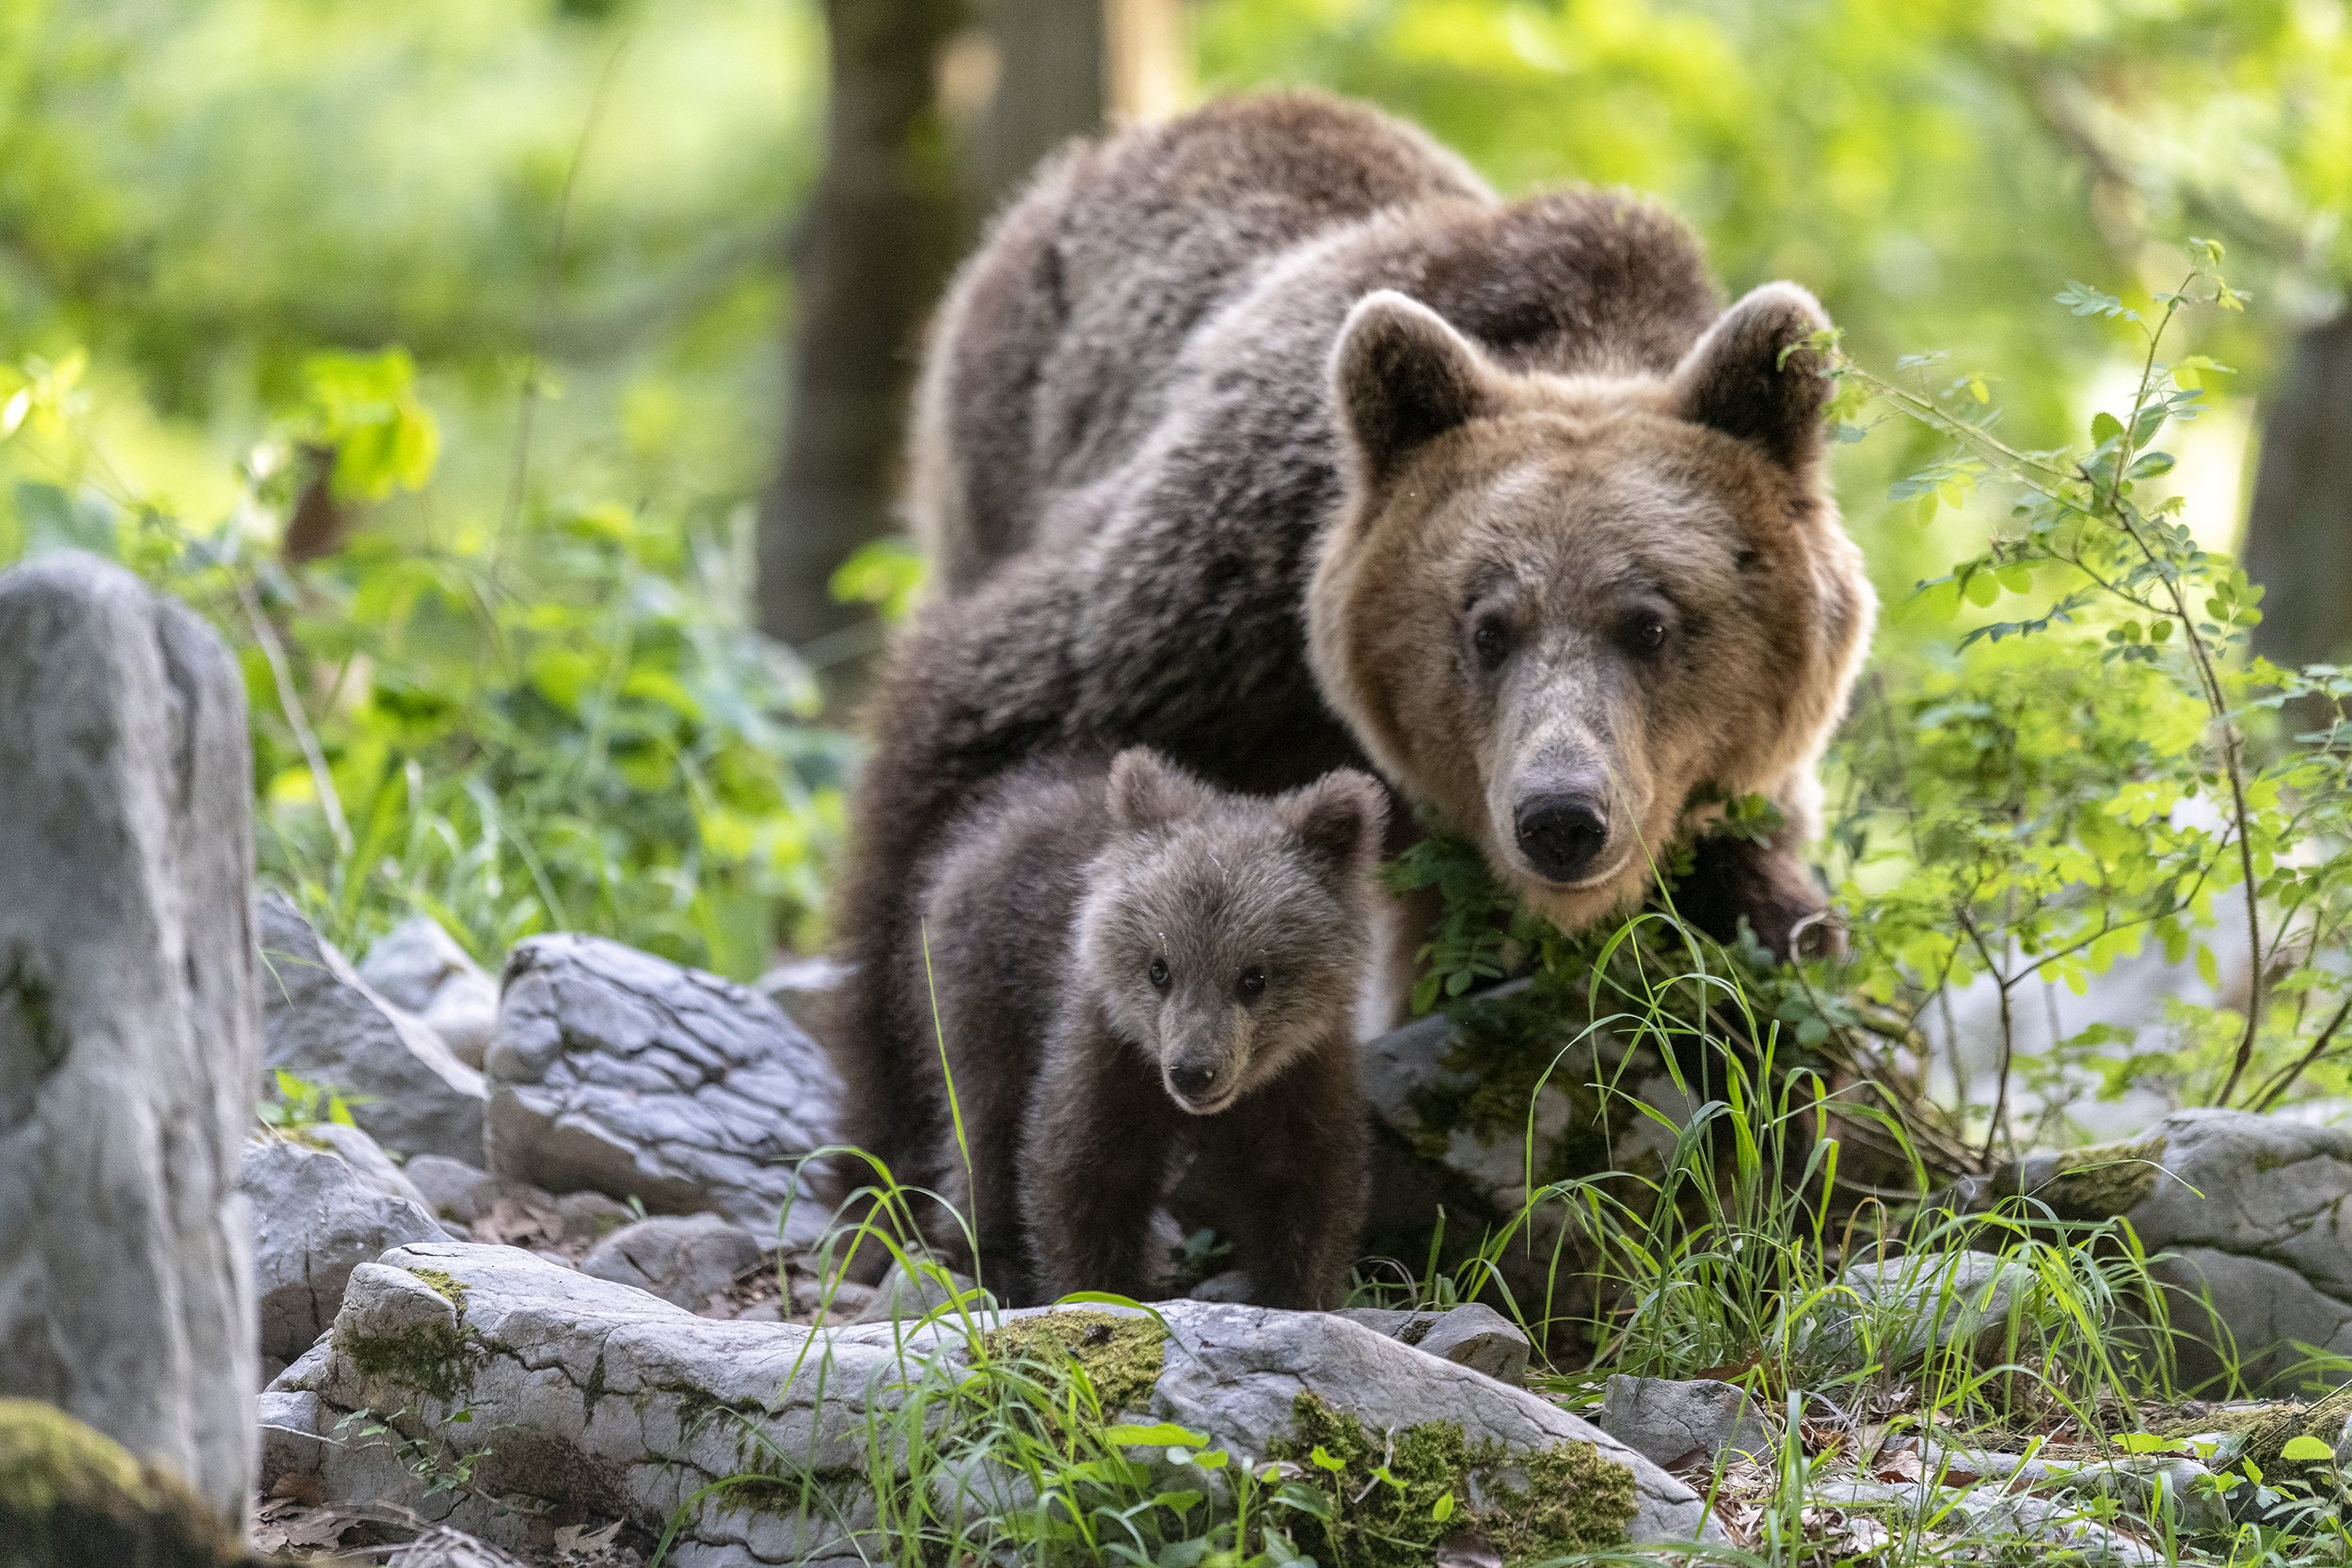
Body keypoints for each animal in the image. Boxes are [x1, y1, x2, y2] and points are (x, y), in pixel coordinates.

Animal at [823, 89, 1876, 1201]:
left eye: (1652, 622)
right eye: (1486, 625)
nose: (1560, 817)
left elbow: (1737, 935)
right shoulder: (1220, 600)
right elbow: (974, 753)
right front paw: (894, 1141)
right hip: (1002, 434)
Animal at [902, 748, 1384, 1310]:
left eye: (1254, 976)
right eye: (1160, 968)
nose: (1193, 1072)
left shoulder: (1303, 1070)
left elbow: (1303, 1183)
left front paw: (1297, 1292)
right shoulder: (1107, 1049)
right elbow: (1082, 1173)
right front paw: (1098, 1289)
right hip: (985, 989)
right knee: (984, 1117)